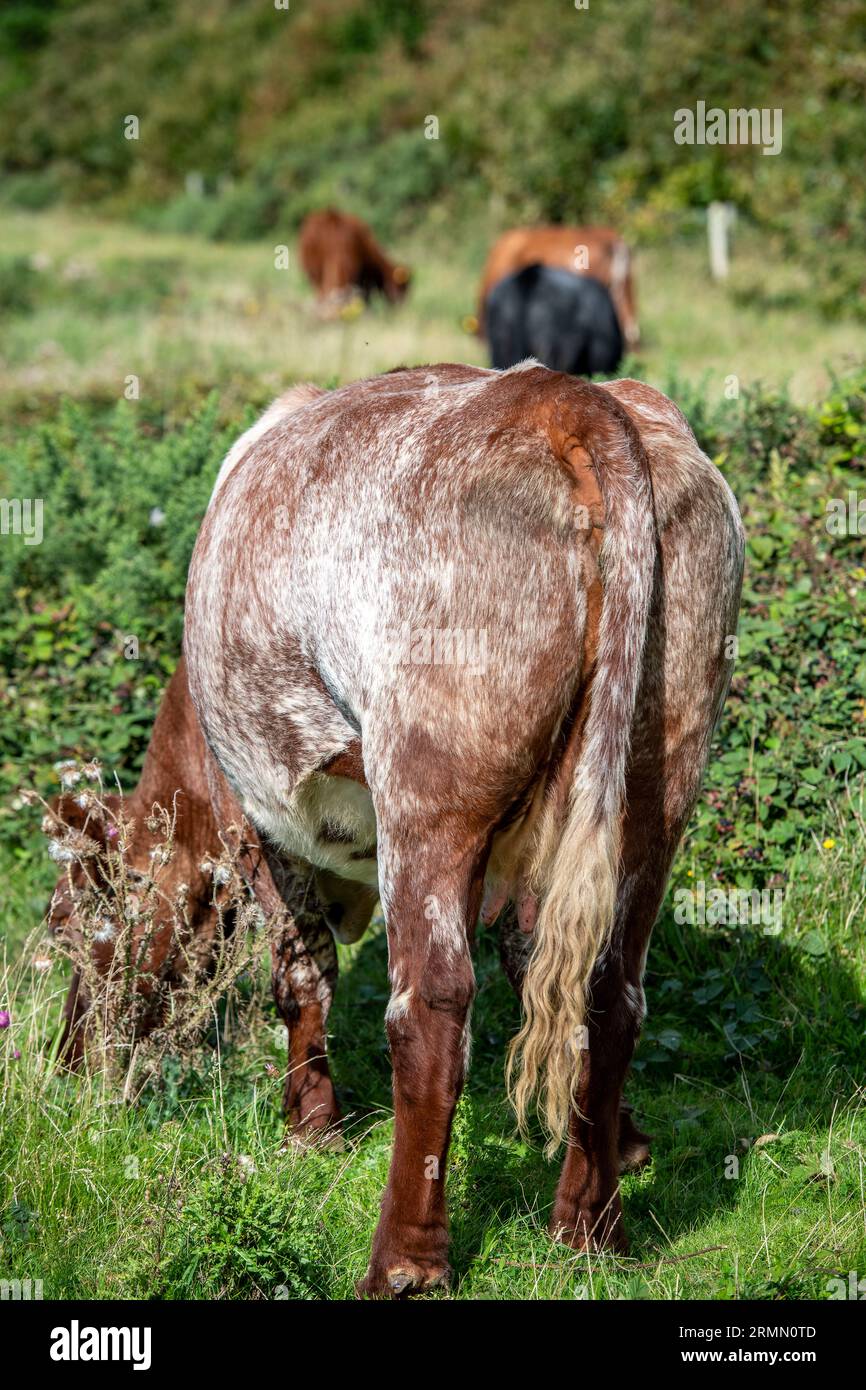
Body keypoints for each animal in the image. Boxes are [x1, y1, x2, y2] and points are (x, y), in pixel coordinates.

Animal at [184, 363, 744, 1297]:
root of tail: (561, 397)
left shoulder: (258, 813)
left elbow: (300, 973)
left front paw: (311, 1124)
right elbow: (536, 964)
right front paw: (628, 1142)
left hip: (426, 777)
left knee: (433, 1006)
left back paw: (404, 1262)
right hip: (659, 767)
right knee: (606, 985)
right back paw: (589, 1224)